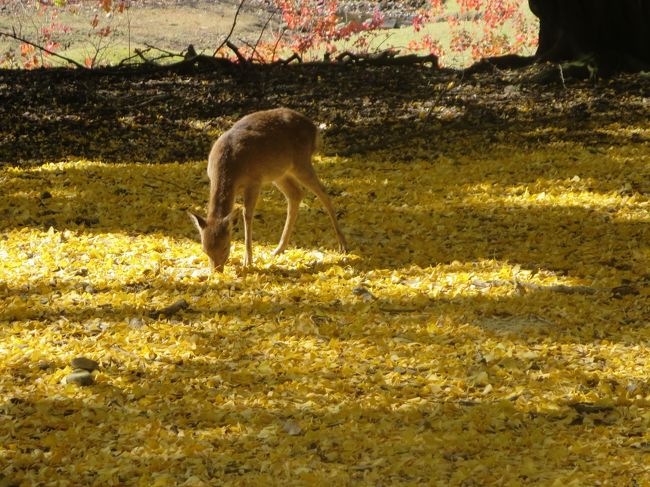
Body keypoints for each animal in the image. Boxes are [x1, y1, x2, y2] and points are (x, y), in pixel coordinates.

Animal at [187, 108, 346, 272]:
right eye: (204, 250)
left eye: (225, 247)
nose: (217, 271)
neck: (229, 167)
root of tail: (314, 129)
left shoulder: (254, 181)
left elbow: (247, 215)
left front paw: (248, 261)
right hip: (280, 172)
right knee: (296, 193)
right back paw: (278, 249)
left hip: (301, 162)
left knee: (323, 192)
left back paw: (342, 245)